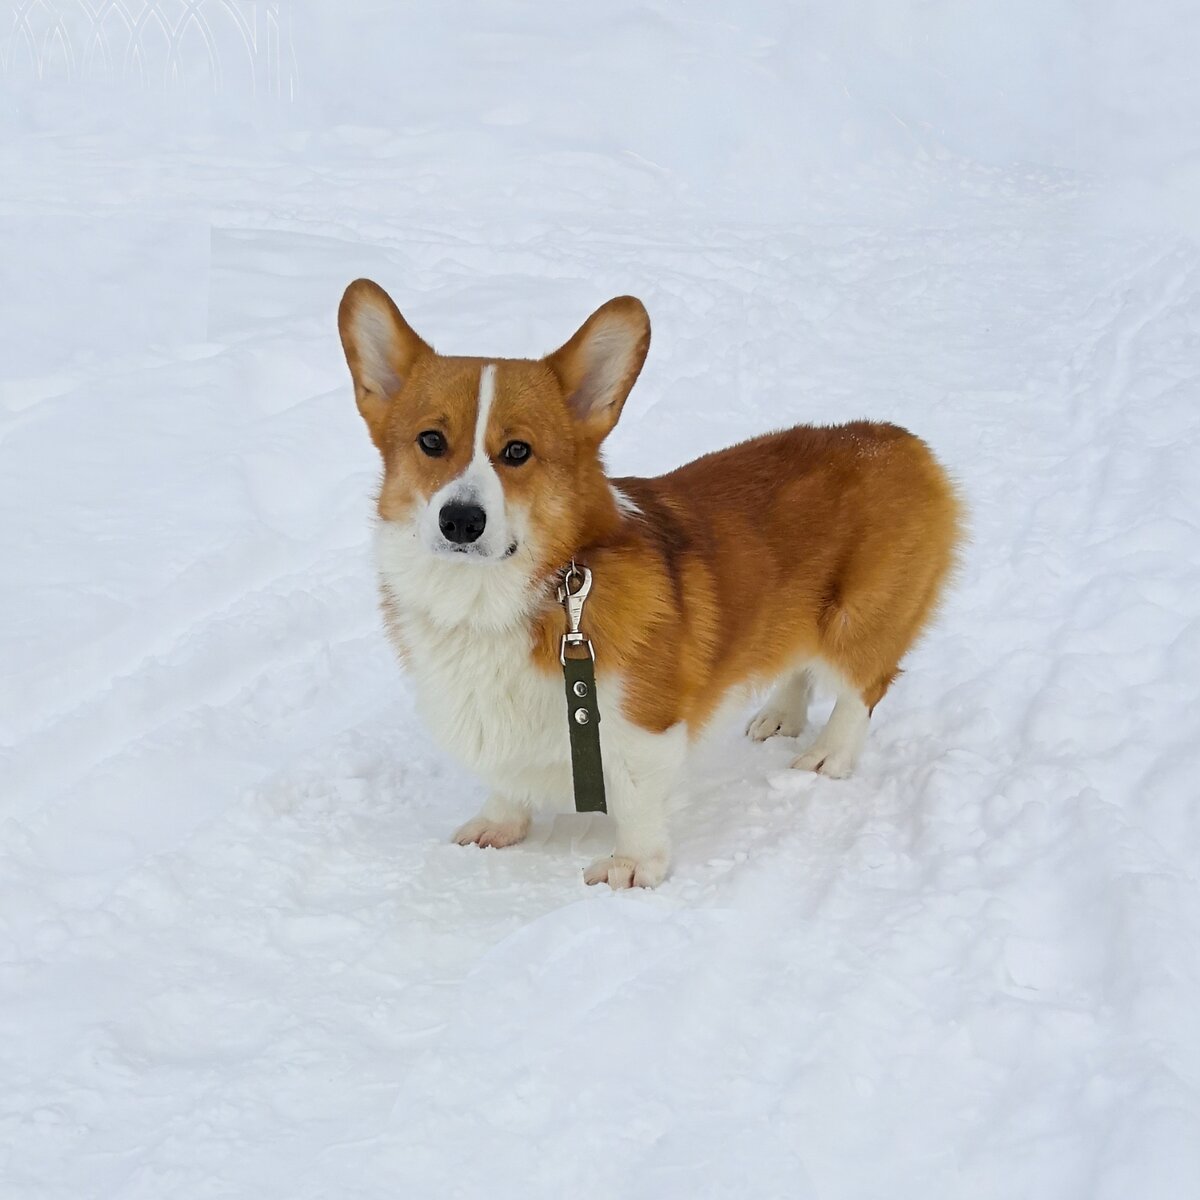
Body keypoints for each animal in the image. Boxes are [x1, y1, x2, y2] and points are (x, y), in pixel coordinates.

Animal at [340, 276, 964, 888]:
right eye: (431, 442)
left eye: (517, 451)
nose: (461, 520)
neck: (497, 597)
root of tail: (895, 439)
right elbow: (505, 779)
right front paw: (499, 824)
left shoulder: (644, 723)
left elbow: (639, 799)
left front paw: (634, 865)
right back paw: (781, 714)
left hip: (858, 617)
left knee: (864, 684)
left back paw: (828, 756)